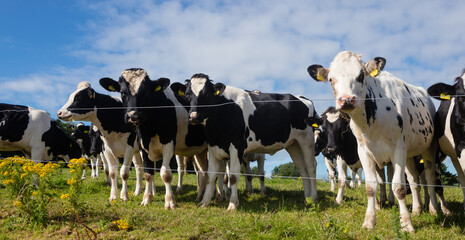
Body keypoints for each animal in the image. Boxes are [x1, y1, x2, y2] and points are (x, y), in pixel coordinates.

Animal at [100, 69, 208, 208]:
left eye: (146, 92)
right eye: (123, 92)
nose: (133, 116)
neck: (149, 129)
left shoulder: (168, 143)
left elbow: (165, 174)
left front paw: (169, 201)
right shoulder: (143, 146)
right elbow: (148, 173)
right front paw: (147, 199)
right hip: (200, 150)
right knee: (203, 172)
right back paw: (201, 197)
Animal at [170, 73, 320, 210]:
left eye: (206, 94)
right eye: (187, 95)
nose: (194, 117)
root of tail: (303, 99)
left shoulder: (237, 146)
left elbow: (233, 177)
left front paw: (232, 204)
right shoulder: (213, 146)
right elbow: (211, 176)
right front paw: (204, 202)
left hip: (306, 140)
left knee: (311, 167)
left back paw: (314, 198)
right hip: (293, 144)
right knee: (302, 169)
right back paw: (307, 199)